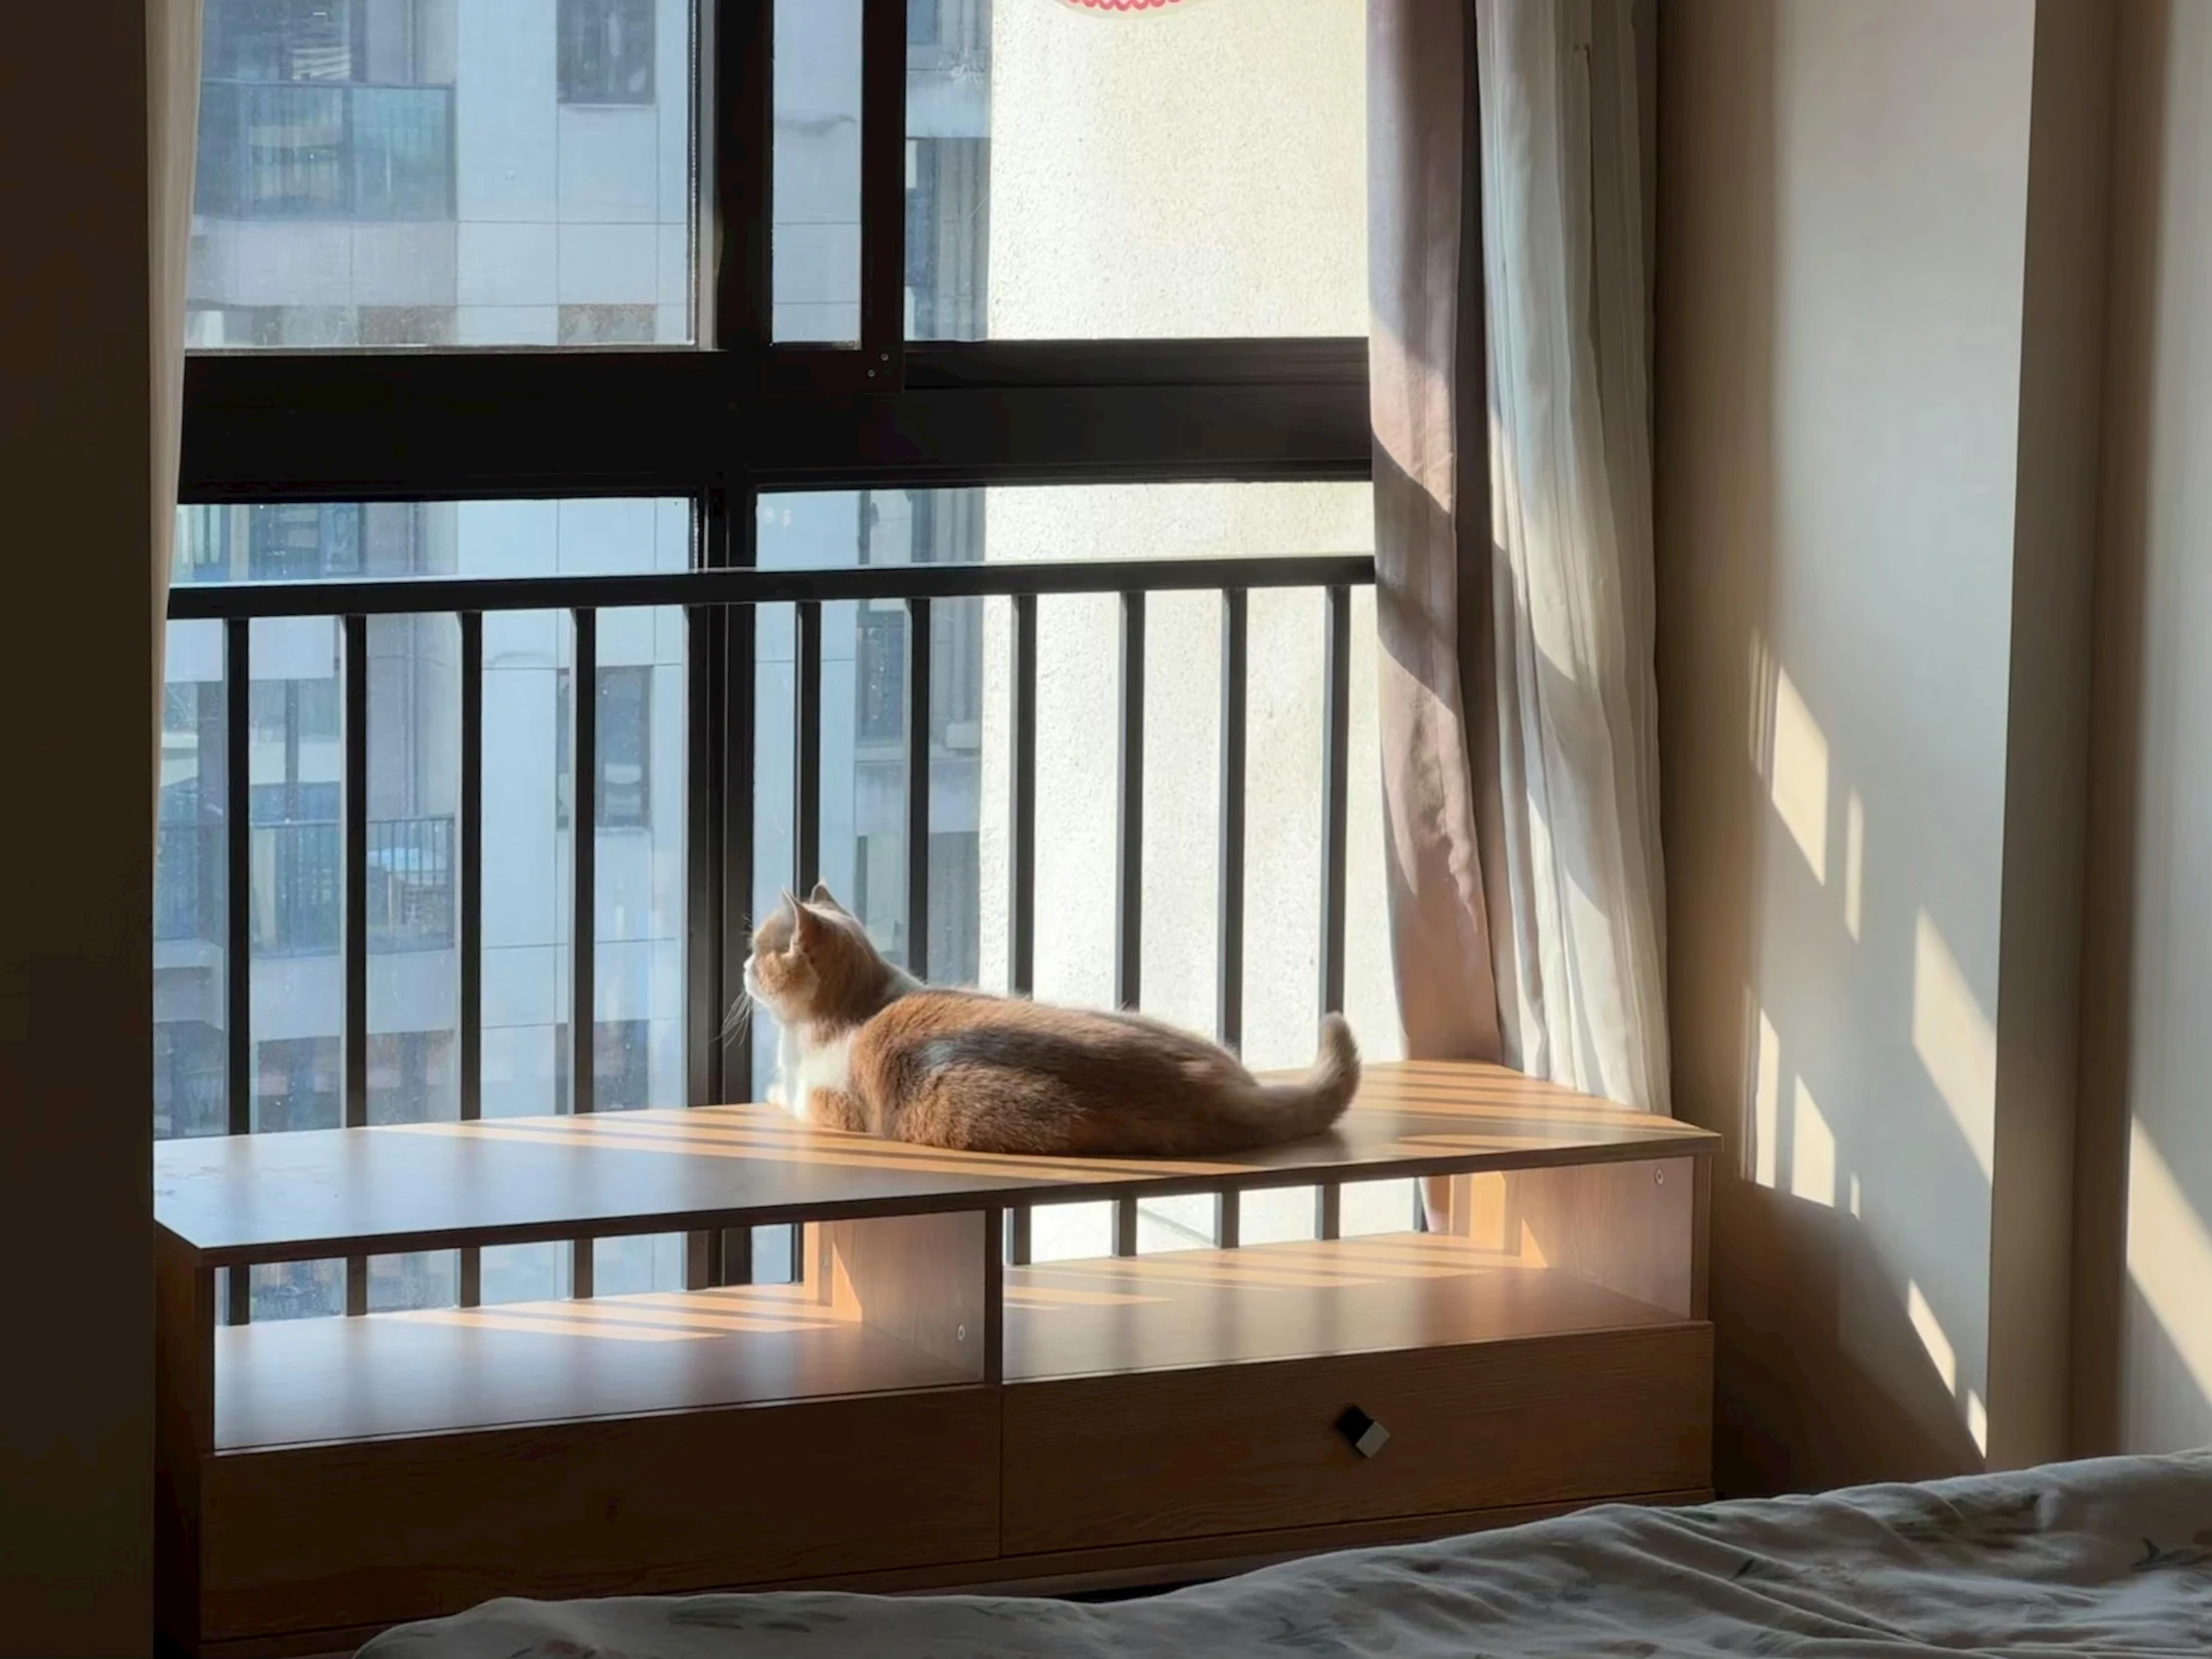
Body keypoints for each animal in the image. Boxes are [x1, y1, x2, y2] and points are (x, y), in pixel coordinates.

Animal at [739, 884, 1363, 1159]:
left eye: (759, 950)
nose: (743, 965)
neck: (862, 1004)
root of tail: (1225, 1089)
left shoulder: (825, 1103)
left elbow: (786, 1094)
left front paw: (768, 1087)